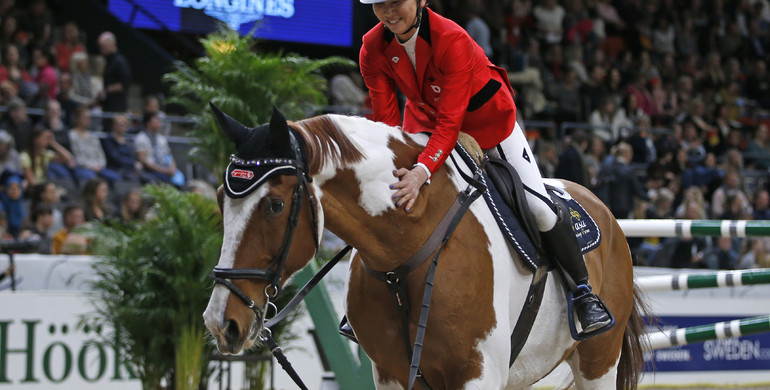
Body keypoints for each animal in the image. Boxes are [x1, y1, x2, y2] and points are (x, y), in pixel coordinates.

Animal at [201, 104, 644, 390]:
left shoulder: (477, 374)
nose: (221, 322)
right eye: (222, 198)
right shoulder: (393, 374)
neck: (404, 253)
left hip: (597, 362)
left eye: (275, 205)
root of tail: (601, 207)